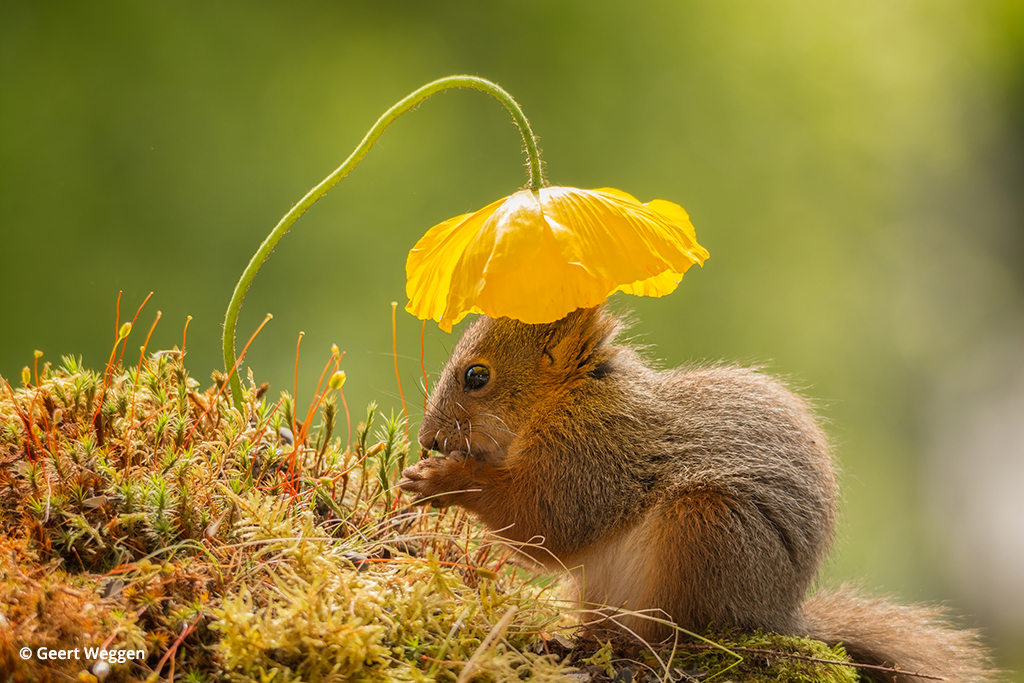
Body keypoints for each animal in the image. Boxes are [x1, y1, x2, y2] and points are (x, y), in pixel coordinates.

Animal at [399, 307, 999, 679]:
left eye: (477, 377)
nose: (428, 439)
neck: (567, 400)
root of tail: (776, 615)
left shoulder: (597, 457)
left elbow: (546, 521)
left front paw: (442, 480)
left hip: (706, 530)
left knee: (682, 635)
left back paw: (636, 646)